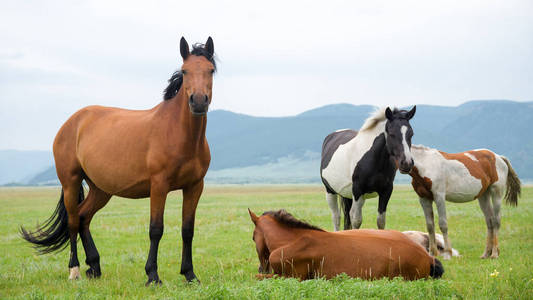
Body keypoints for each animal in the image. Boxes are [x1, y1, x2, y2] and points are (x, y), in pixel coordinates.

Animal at [21, 37, 214, 284]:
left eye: (210, 70)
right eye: (184, 71)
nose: (198, 102)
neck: (179, 134)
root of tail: (72, 122)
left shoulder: (194, 187)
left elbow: (187, 230)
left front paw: (190, 274)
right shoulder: (159, 186)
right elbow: (156, 229)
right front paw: (152, 275)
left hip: (101, 189)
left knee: (83, 217)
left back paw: (94, 266)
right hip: (70, 183)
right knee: (73, 221)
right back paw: (74, 270)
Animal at [247, 209, 442, 282]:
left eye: (253, 237)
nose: (262, 267)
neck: (292, 240)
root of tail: (428, 257)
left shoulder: (290, 277)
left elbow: (257, 277)